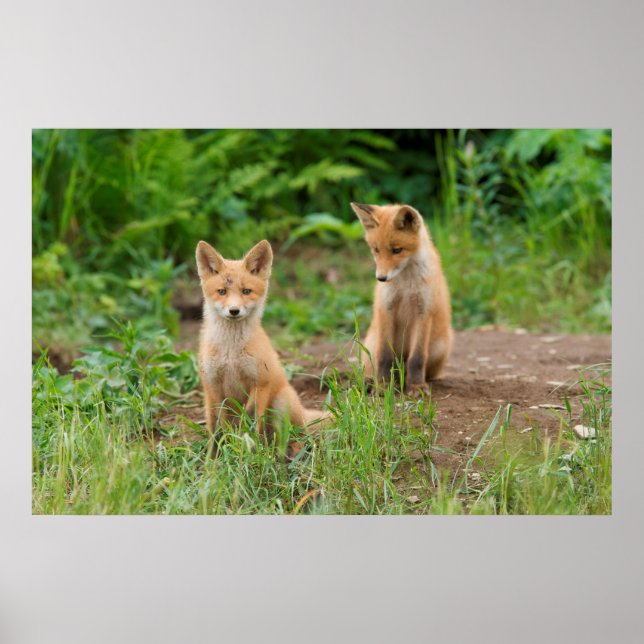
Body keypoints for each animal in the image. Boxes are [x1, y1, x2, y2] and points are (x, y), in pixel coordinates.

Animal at [196, 239, 328, 438]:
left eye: (246, 291)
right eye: (222, 291)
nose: (234, 311)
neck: (231, 353)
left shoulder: (260, 382)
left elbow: (250, 420)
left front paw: (249, 444)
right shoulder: (212, 385)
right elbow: (216, 426)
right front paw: (217, 448)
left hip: (281, 404)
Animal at [351, 202, 453, 394]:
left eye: (397, 250)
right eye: (376, 249)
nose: (381, 278)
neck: (406, 285)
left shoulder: (423, 312)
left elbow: (417, 358)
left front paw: (416, 386)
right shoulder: (386, 308)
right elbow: (384, 356)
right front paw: (383, 386)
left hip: (440, 346)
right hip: (371, 344)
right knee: (377, 366)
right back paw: (372, 381)